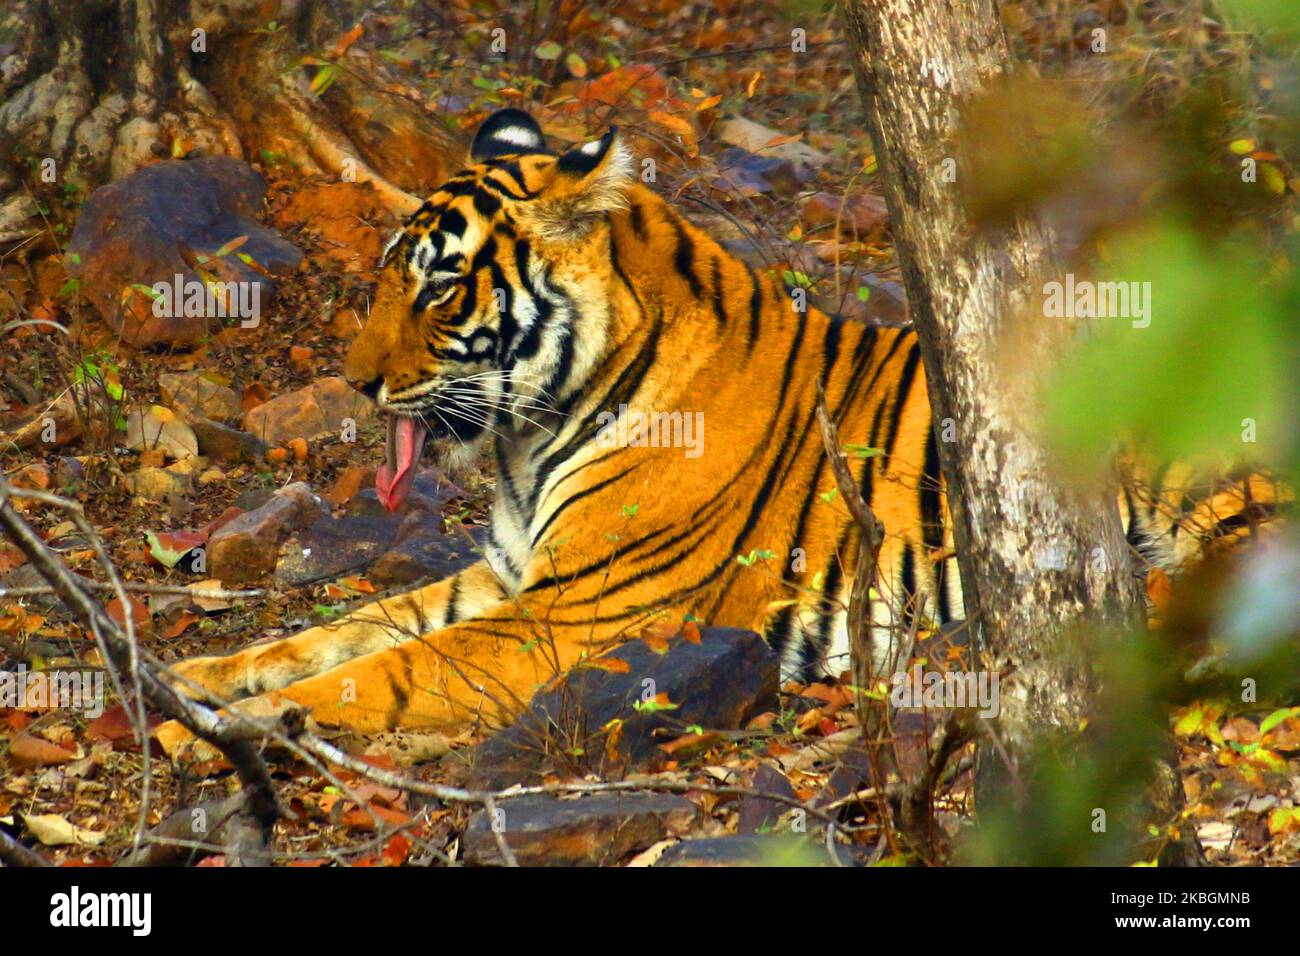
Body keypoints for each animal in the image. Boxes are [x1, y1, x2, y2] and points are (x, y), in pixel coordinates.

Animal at [149, 110, 1279, 754]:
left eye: (439, 282)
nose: (355, 380)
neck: (531, 439)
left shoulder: (580, 612)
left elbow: (379, 670)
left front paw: (214, 729)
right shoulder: (514, 573)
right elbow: (346, 628)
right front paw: (198, 678)